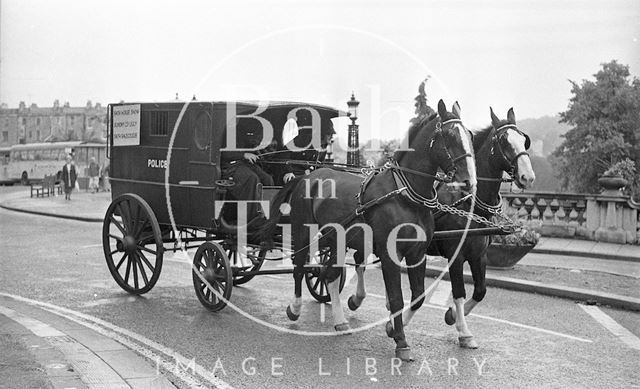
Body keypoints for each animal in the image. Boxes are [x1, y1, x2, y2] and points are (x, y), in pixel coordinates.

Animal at [262, 98, 478, 360]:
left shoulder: (417, 253)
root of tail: (307, 176)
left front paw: (392, 329)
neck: (405, 196)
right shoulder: (389, 253)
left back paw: (340, 320)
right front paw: (401, 341)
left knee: (329, 275)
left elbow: (417, 296)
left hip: (336, 239)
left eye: (469, 135)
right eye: (449, 136)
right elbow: (396, 297)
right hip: (304, 231)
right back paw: (294, 308)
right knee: (299, 266)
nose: (469, 182)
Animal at [430, 107, 536, 348]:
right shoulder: (456, 256)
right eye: (504, 140)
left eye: (523, 140)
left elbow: (480, 291)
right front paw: (464, 331)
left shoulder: (479, 255)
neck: (470, 204)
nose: (527, 177)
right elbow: (459, 291)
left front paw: (452, 315)